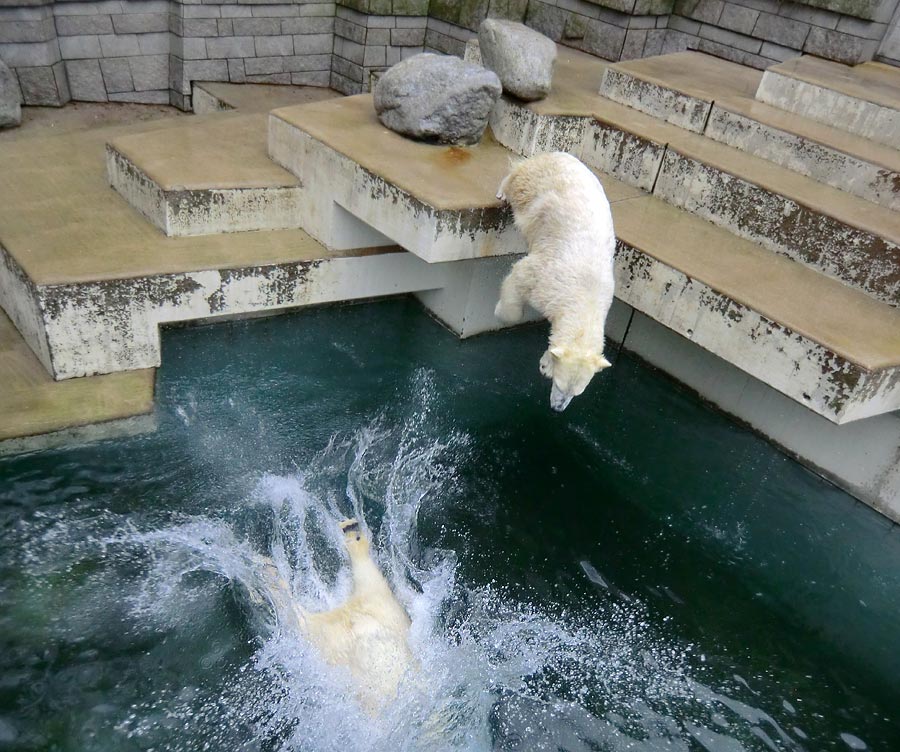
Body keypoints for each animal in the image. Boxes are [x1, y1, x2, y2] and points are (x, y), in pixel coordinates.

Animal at [496, 151, 616, 412]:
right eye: (559, 385)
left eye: (576, 393)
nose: (557, 409)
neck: (587, 294)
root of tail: (561, 154)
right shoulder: (548, 279)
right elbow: (520, 276)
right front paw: (501, 313)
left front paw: (545, 362)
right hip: (539, 185)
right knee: (519, 181)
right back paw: (503, 189)